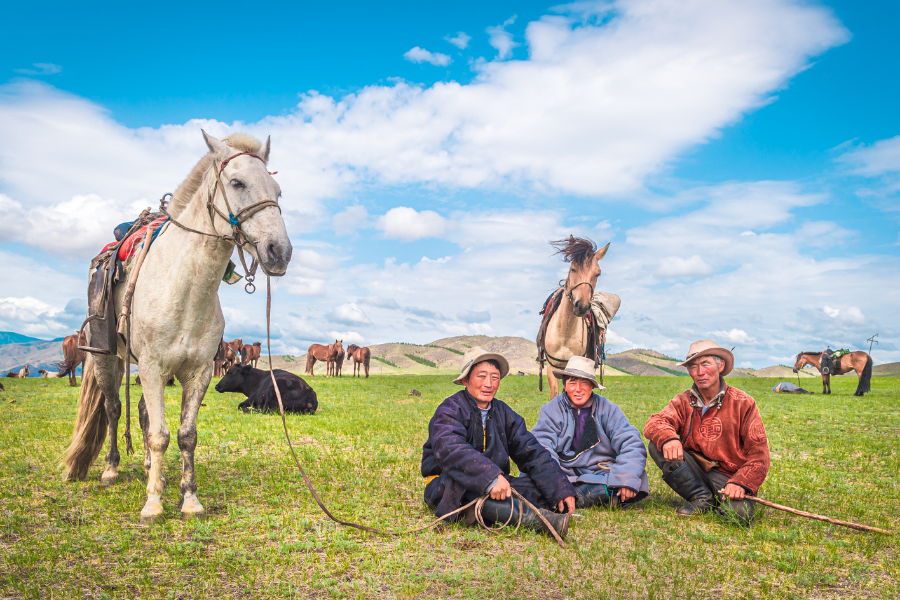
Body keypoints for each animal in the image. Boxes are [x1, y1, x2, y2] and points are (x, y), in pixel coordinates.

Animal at [62, 132, 292, 520]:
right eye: (237, 183)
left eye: (277, 191)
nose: (280, 251)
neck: (184, 289)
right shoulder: (152, 366)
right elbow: (159, 434)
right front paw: (153, 504)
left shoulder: (197, 372)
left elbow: (185, 435)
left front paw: (189, 499)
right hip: (110, 360)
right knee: (114, 409)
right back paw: (111, 469)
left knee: (141, 412)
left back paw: (148, 469)